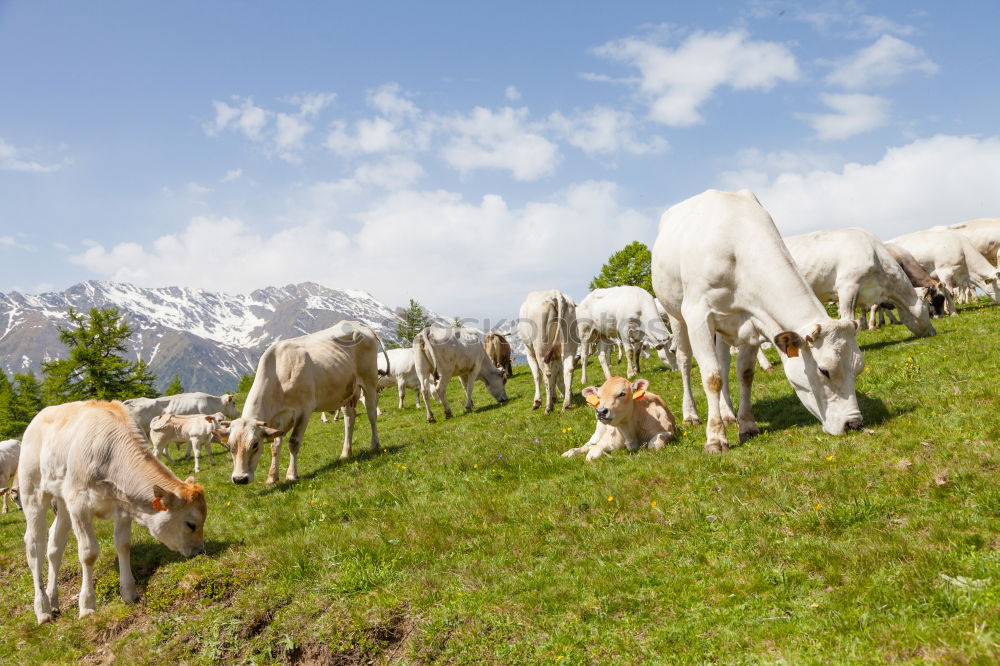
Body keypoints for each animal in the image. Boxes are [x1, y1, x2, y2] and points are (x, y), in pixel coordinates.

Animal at [19, 400, 207, 624]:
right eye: (191, 524)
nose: (199, 551)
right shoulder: (79, 504)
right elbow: (88, 553)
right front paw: (87, 606)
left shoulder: (122, 507)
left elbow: (123, 545)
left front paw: (129, 592)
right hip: (32, 491)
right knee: (34, 545)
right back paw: (43, 609)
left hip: (63, 501)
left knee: (55, 545)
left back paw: (53, 600)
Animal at [223, 320, 390, 482]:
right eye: (229, 446)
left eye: (255, 444)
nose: (239, 479)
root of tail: (359, 324)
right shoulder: (277, 419)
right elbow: (275, 446)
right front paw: (272, 477)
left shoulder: (304, 409)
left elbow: (293, 442)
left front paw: (291, 474)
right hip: (347, 391)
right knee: (349, 419)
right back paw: (345, 453)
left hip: (369, 382)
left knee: (371, 414)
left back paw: (374, 444)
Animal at [652, 189, 864, 454]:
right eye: (824, 370)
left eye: (859, 368)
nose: (854, 423)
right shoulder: (698, 315)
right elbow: (711, 376)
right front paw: (715, 438)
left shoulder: (752, 320)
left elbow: (744, 373)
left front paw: (747, 425)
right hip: (676, 315)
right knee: (684, 361)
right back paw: (691, 414)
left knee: (723, 361)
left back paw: (727, 413)